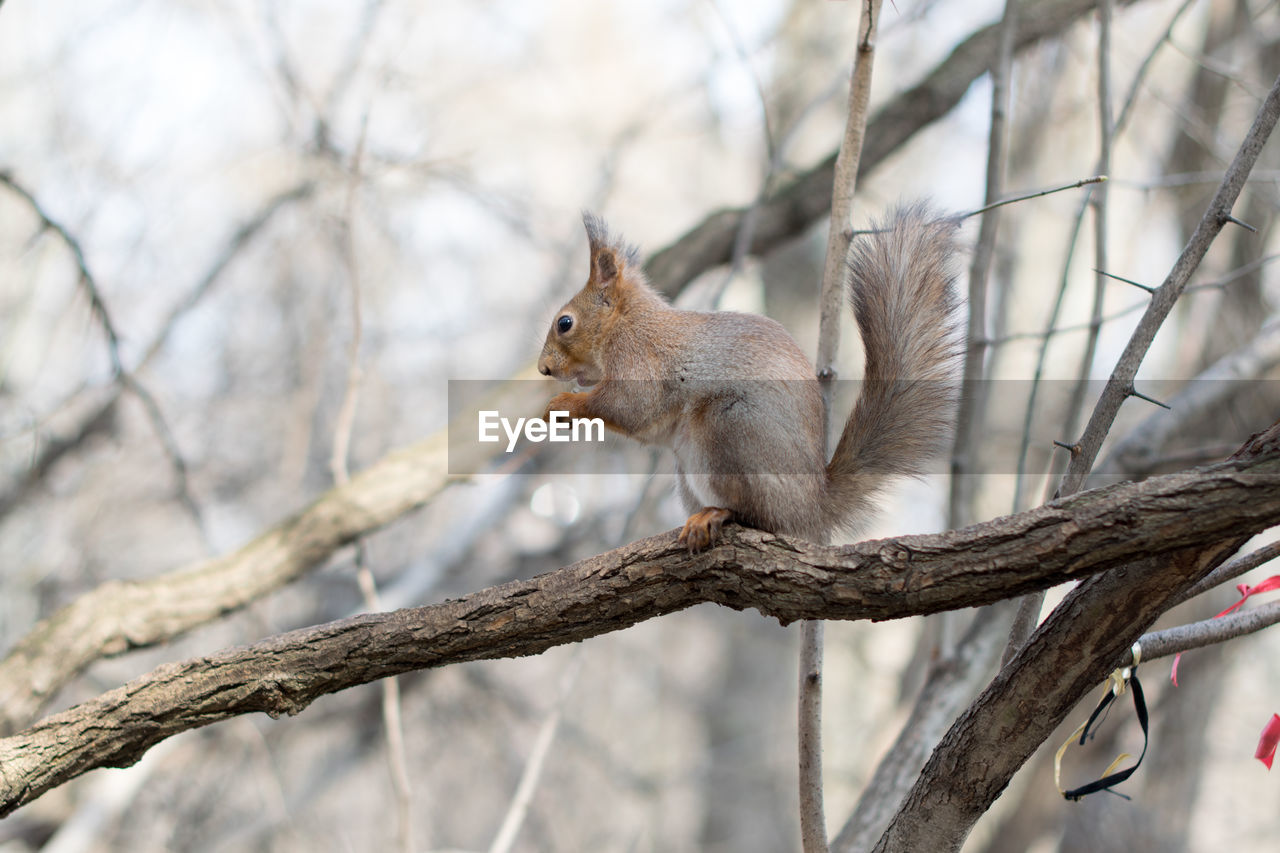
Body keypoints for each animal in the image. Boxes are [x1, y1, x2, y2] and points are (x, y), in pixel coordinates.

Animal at [535, 206, 957, 550]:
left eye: (565, 323)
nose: (543, 369)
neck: (626, 322)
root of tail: (813, 506)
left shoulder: (640, 359)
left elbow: (629, 405)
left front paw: (561, 405)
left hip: (731, 428)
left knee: (758, 516)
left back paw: (718, 515)